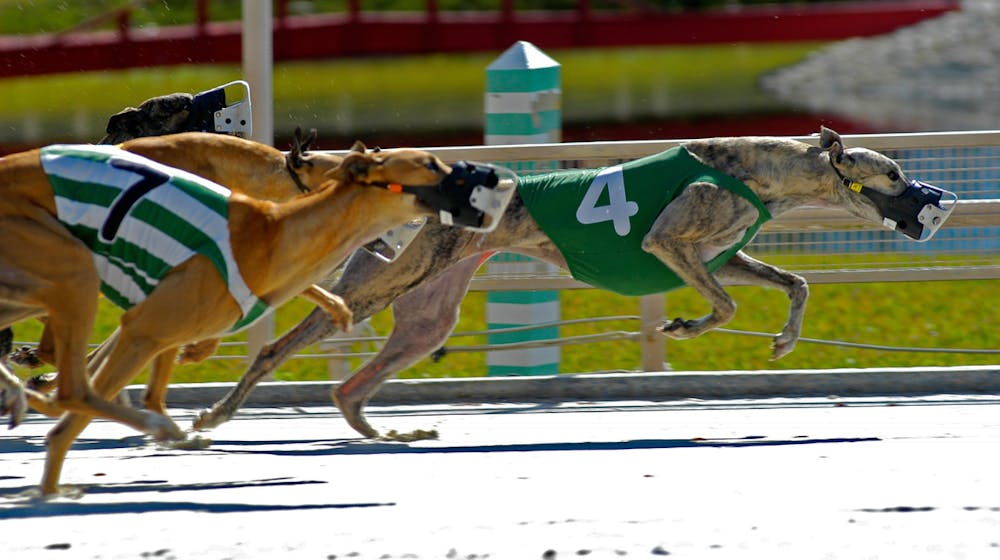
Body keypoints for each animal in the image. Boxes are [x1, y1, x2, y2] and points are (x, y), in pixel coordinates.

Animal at [0, 140, 472, 494]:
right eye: (429, 163)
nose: (482, 174)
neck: (273, 230)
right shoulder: (145, 328)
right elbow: (83, 398)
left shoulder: (153, 327)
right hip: (71, 270)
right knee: (75, 385)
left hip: (31, 289)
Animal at [193, 128, 952, 438]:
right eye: (891, 173)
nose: (934, 198)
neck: (767, 169)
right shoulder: (670, 243)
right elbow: (726, 302)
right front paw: (685, 326)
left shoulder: (717, 252)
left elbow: (792, 283)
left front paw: (783, 341)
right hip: (401, 277)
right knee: (289, 338)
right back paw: (220, 412)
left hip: (429, 303)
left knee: (355, 376)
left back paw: (374, 427)